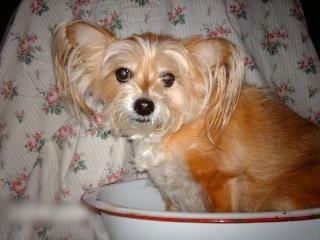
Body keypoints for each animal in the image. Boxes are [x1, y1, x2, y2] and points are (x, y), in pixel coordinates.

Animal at [52, 20, 320, 212]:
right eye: (123, 73)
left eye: (169, 78)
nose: (144, 105)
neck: (175, 129)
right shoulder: (173, 197)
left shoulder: (223, 184)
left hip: (280, 200)